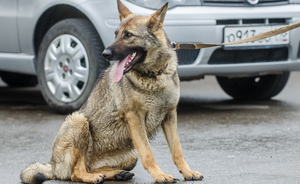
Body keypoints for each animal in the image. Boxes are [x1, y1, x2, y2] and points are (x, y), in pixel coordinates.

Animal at [20, 0, 204, 183]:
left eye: (128, 35)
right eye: (116, 34)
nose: (105, 53)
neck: (154, 76)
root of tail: (53, 165)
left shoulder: (170, 116)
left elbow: (177, 150)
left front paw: (187, 172)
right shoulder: (135, 118)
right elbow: (148, 153)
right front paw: (160, 175)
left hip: (131, 155)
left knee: (92, 168)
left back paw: (117, 174)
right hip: (79, 121)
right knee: (76, 173)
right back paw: (93, 177)